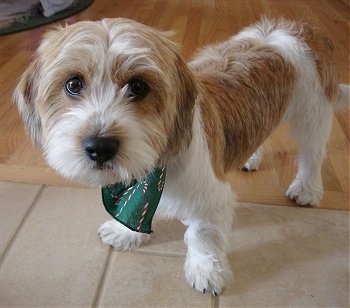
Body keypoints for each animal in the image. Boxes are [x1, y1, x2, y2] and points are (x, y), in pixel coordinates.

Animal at [13, 17, 348, 296]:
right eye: (73, 84)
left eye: (138, 86)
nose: (100, 146)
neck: (157, 165)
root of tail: (298, 28)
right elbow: (131, 210)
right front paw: (125, 231)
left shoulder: (210, 197)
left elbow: (203, 235)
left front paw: (207, 271)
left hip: (312, 115)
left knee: (312, 154)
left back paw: (306, 189)